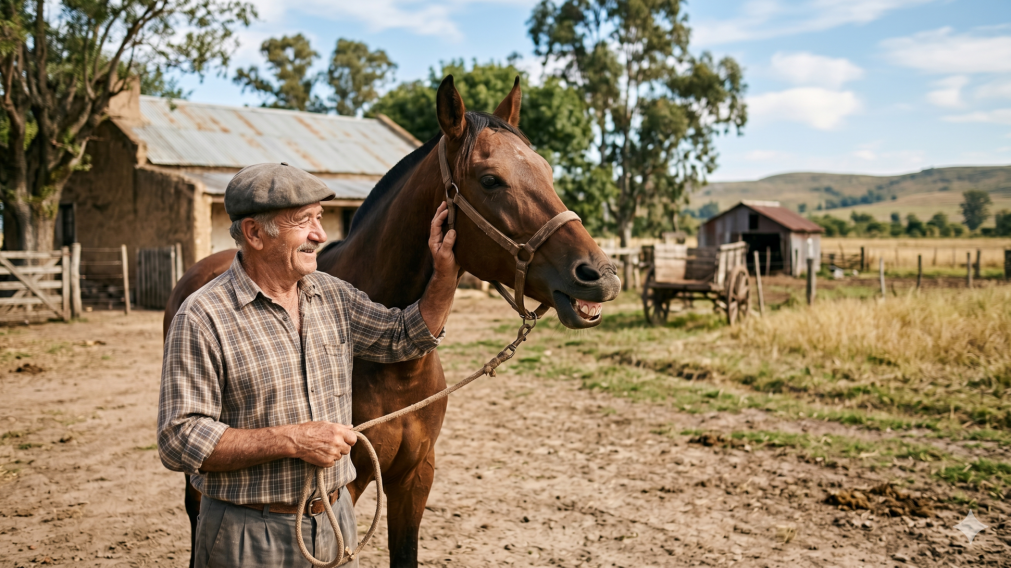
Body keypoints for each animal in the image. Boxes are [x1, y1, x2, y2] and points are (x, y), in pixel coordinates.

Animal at [163, 75, 622, 567]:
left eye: (548, 172)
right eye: (490, 180)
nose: (601, 275)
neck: (397, 372)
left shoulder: (416, 476)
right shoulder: (346, 487)